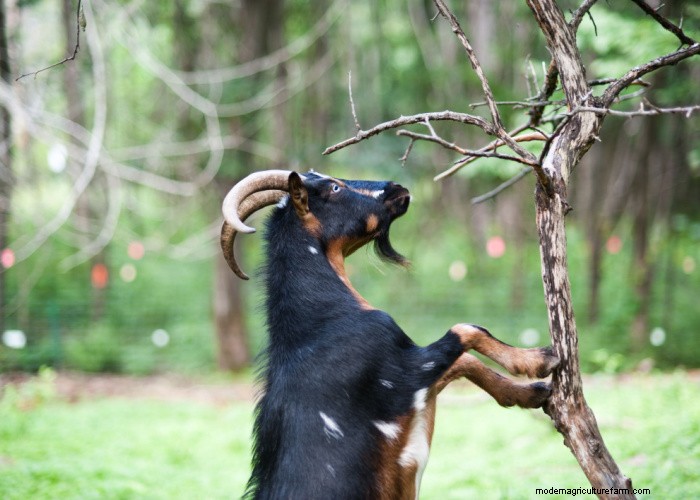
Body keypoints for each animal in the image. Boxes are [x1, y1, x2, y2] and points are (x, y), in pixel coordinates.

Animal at [220, 170, 559, 499]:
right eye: (334, 187)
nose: (396, 187)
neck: (319, 320)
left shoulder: (414, 386)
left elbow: (465, 361)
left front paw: (529, 393)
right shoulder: (402, 372)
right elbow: (466, 331)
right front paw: (540, 360)